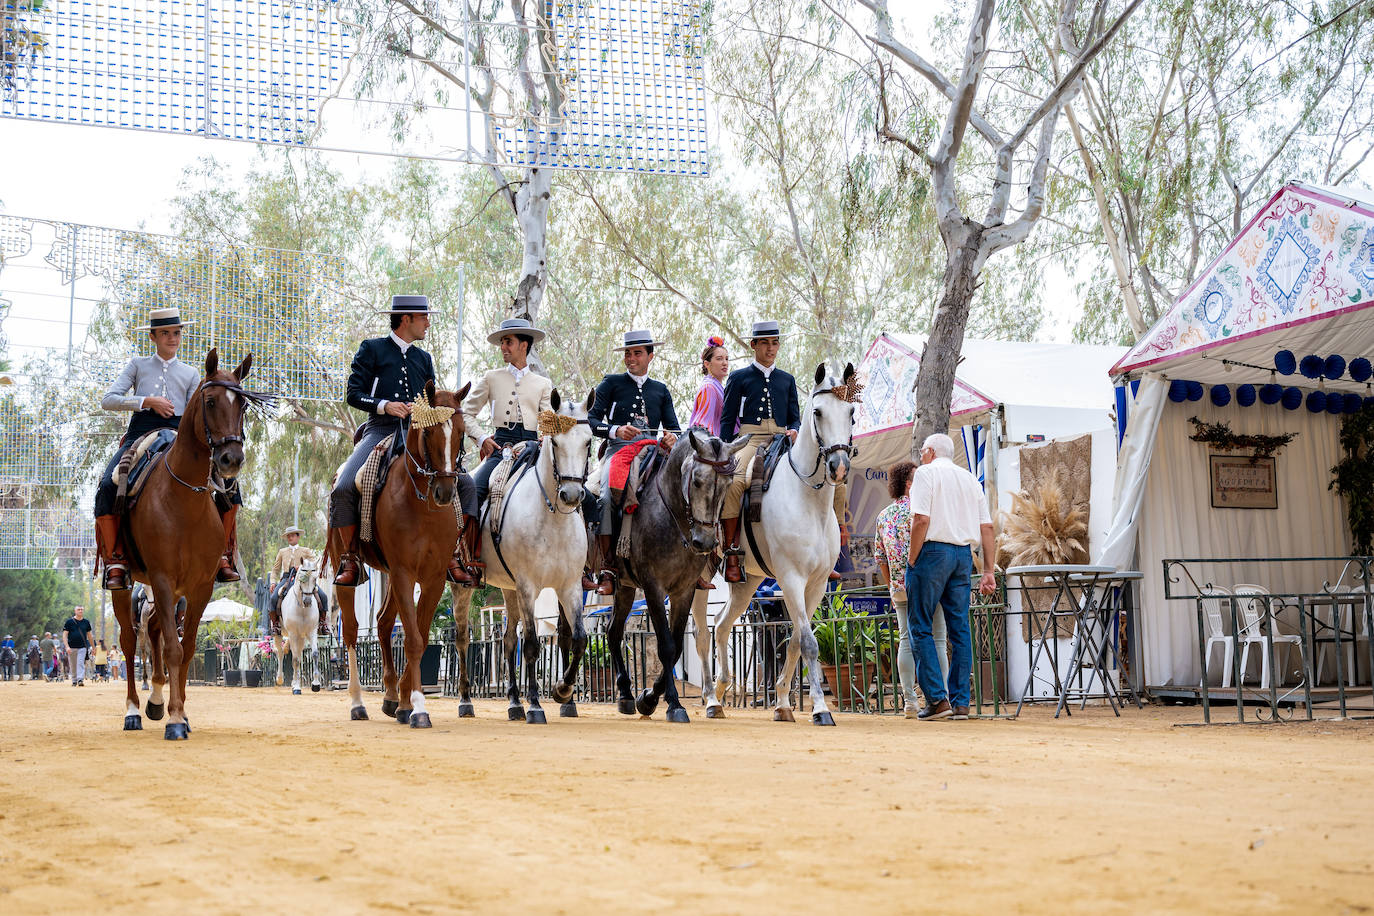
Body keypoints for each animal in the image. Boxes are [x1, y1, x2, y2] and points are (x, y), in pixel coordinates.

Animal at [111, 347, 261, 741]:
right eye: (210, 401)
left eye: (243, 404)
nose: (231, 459)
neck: (183, 500)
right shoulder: (163, 580)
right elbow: (173, 650)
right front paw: (175, 720)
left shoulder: (200, 586)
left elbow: (187, 648)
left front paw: (179, 712)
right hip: (124, 586)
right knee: (131, 642)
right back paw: (133, 711)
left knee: (154, 634)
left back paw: (156, 702)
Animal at [274, 560, 325, 694]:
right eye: (301, 580)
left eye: (315, 579)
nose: (307, 601)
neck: (302, 608)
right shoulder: (293, 634)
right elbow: (295, 659)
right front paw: (297, 687)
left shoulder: (312, 632)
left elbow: (315, 654)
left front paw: (316, 684)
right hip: (279, 634)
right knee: (280, 652)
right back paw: (280, 679)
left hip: (301, 637)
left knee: (298, 652)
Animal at [328, 379, 472, 730]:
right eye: (428, 431)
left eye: (461, 432)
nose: (445, 492)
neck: (423, 505)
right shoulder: (405, 572)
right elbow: (414, 639)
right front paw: (418, 708)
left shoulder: (433, 577)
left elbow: (417, 634)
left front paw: (406, 703)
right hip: (349, 573)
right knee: (351, 632)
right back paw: (357, 703)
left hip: (391, 575)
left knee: (381, 623)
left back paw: (392, 697)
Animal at [456, 387, 596, 725]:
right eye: (555, 442)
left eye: (588, 442)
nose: (572, 495)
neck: (553, 519)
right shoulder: (529, 586)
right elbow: (532, 645)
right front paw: (535, 705)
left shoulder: (570, 586)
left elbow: (578, 638)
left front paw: (562, 691)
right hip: (463, 587)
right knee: (463, 638)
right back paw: (466, 700)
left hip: (509, 590)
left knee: (507, 641)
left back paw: (514, 703)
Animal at [697, 362, 857, 725]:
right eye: (818, 411)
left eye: (851, 412)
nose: (839, 468)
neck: (808, 501)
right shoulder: (790, 579)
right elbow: (809, 643)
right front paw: (820, 709)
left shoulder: (816, 585)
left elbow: (796, 641)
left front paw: (783, 704)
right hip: (698, 580)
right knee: (700, 634)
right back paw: (709, 698)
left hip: (746, 582)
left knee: (722, 625)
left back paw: (723, 690)